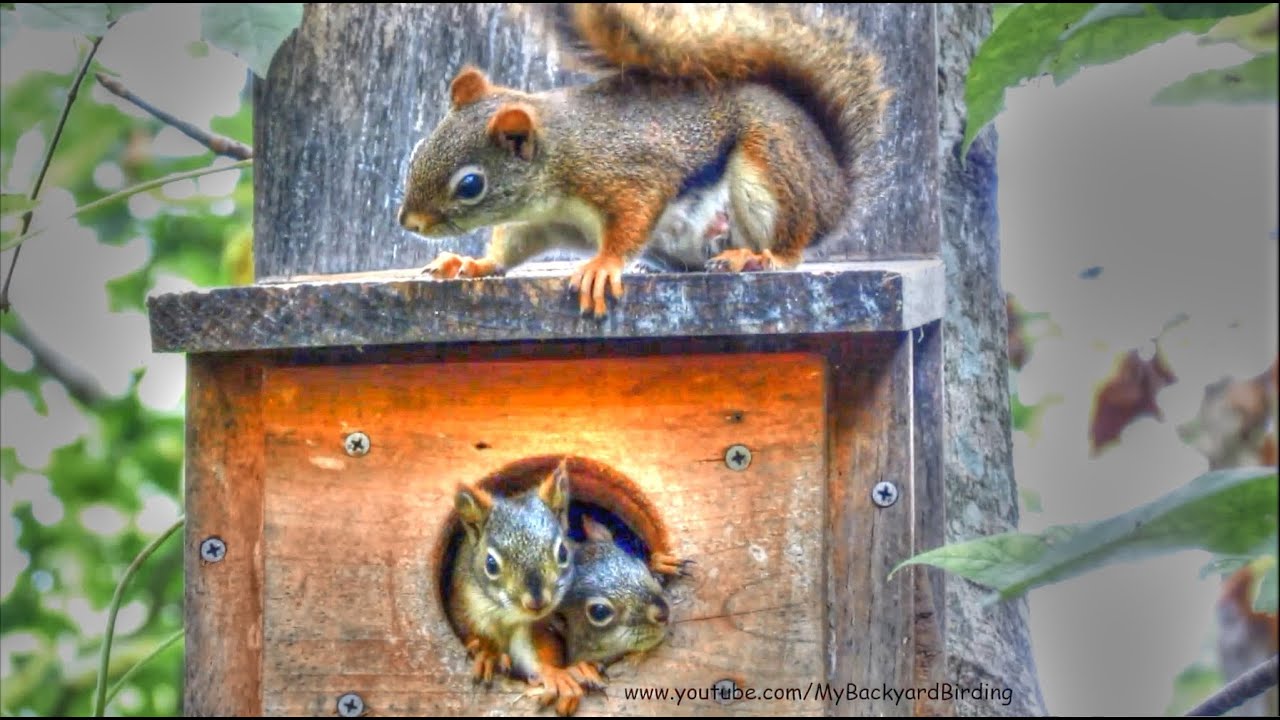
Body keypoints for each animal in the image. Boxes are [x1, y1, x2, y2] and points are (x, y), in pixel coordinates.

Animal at [396, 1, 890, 313]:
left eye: (470, 184)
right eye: (417, 152)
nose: (410, 223)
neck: (559, 158)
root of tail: (835, 190)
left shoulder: (626, 175)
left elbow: (632, 220)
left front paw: (602, 266)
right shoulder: (540, 221)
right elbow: (511, 247)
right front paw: (470, 263)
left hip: (772, 167)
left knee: (790, 245)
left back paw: (755, 258)